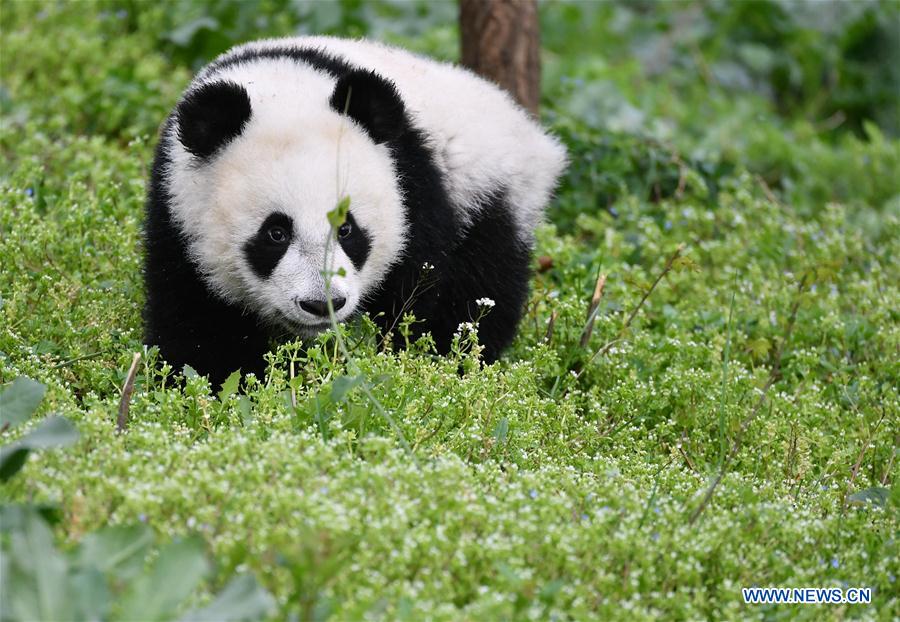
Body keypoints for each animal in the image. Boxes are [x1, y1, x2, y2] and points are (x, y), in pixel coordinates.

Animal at [144, 36, 567, 386]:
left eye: (347, 229)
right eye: (275, 233)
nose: (322, 304)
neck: (279, 86)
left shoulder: (413, 186)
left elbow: (416, 295)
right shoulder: (177, 207)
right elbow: (196, 318)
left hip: (488, 192)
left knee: (480, 288)